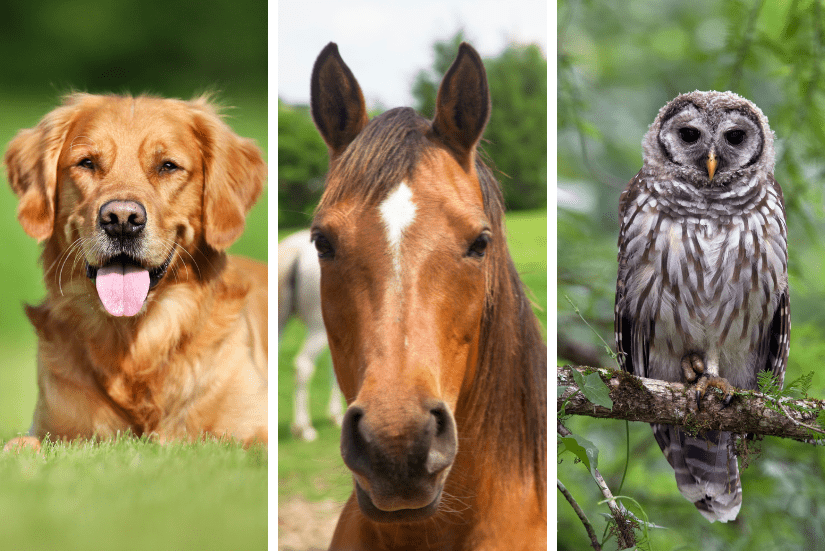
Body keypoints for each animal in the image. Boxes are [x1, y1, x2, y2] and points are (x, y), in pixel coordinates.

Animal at [3, 92, 266, 452]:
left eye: (167, 166)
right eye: (87, 163)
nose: (122, 220)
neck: (135, 342)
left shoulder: (252, 428)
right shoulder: (53, 429)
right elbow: (21, 446)